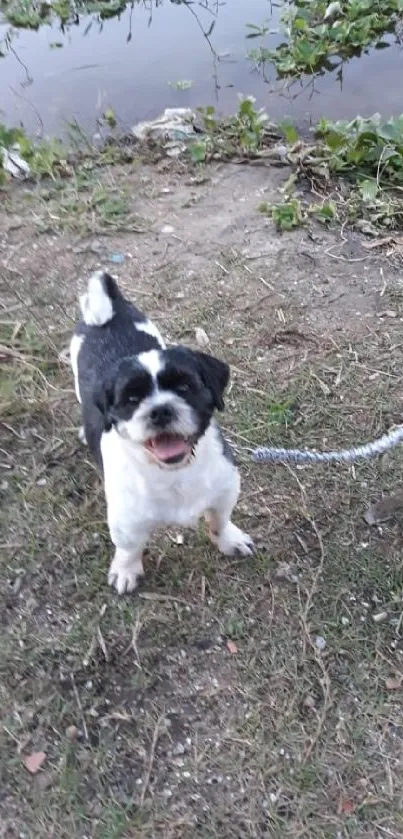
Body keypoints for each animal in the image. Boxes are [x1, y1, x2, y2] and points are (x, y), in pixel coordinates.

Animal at [69, 272, 252, 592]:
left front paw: (229, 540)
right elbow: (129, 548)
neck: (174, 473)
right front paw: (126, 570)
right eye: (131, 400)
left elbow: (220, 521)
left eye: (184, 387)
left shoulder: (225, 489)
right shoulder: (126, 520)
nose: (160, 409)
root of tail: (107, 314)